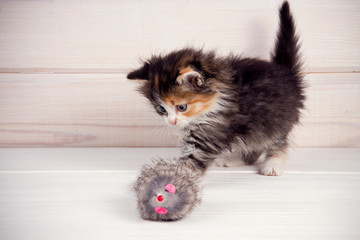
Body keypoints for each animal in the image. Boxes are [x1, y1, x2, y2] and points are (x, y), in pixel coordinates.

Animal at [126, 0, 304, 175]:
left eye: (182, 107)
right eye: (161, 109)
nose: (172, 122)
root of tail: (285, 71)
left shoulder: (211, 134)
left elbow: (191, 163)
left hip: (276, 121)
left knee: (277, 142)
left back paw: (273, 164)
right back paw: (233, 159)